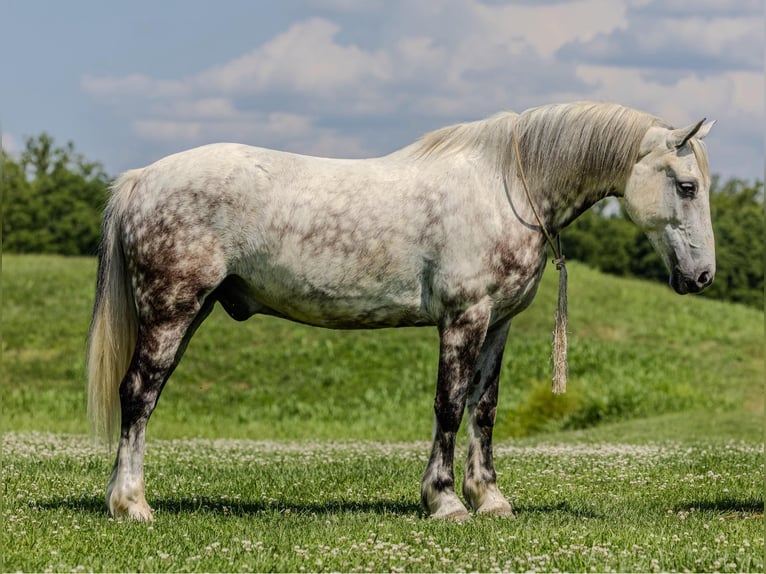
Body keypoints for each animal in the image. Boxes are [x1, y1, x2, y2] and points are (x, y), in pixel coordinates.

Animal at [87, 101, 715, 521]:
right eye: (686, 186)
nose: (702, 276)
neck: (506, 188)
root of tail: (142, 179)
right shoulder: (464, 318)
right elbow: (449, 406)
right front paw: (445, 502)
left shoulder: (498, 324)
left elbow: (484, 410)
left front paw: (489, 498)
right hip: (172, 312)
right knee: (138, 395)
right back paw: (132, 504)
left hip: (189, 313)